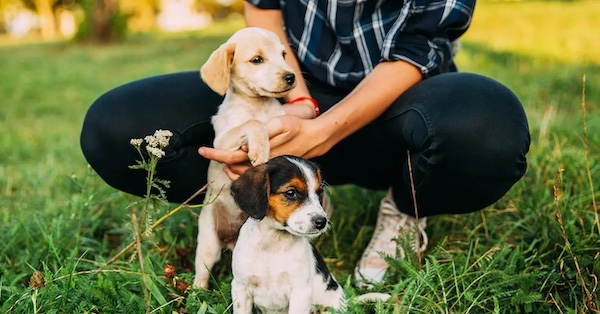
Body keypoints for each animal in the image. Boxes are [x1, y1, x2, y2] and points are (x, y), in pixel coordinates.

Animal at [193, 27, 296, 290]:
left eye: (283, 55)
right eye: (257, 59)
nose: (291, 77)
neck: (258, 105)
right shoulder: (222, 141)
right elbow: (252, 123)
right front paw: (260, 147)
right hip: (208, 245)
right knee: (202, 271)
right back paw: (196, 291)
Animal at [229, 156, 342, 312]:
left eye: (319, 192)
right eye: (291, 193)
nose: (322, 221)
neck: (273, 243)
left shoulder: (300, 291)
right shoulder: (241, 287)